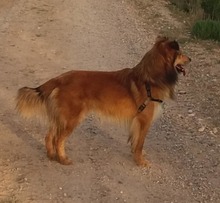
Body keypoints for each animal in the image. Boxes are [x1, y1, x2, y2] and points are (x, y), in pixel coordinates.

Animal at [15, 36, 191, 167]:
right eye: (181, 53)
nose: (190, 59)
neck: (151, 78)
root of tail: (59, 78)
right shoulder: (144, 120)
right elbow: (140, 142)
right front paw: (140, 161)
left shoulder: (137, 121)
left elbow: (136, 141)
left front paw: (136, 154)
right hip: (72, 119)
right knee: (58, 139)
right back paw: (62, 159)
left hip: (61, 117)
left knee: (49, 136)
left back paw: (51, 155)